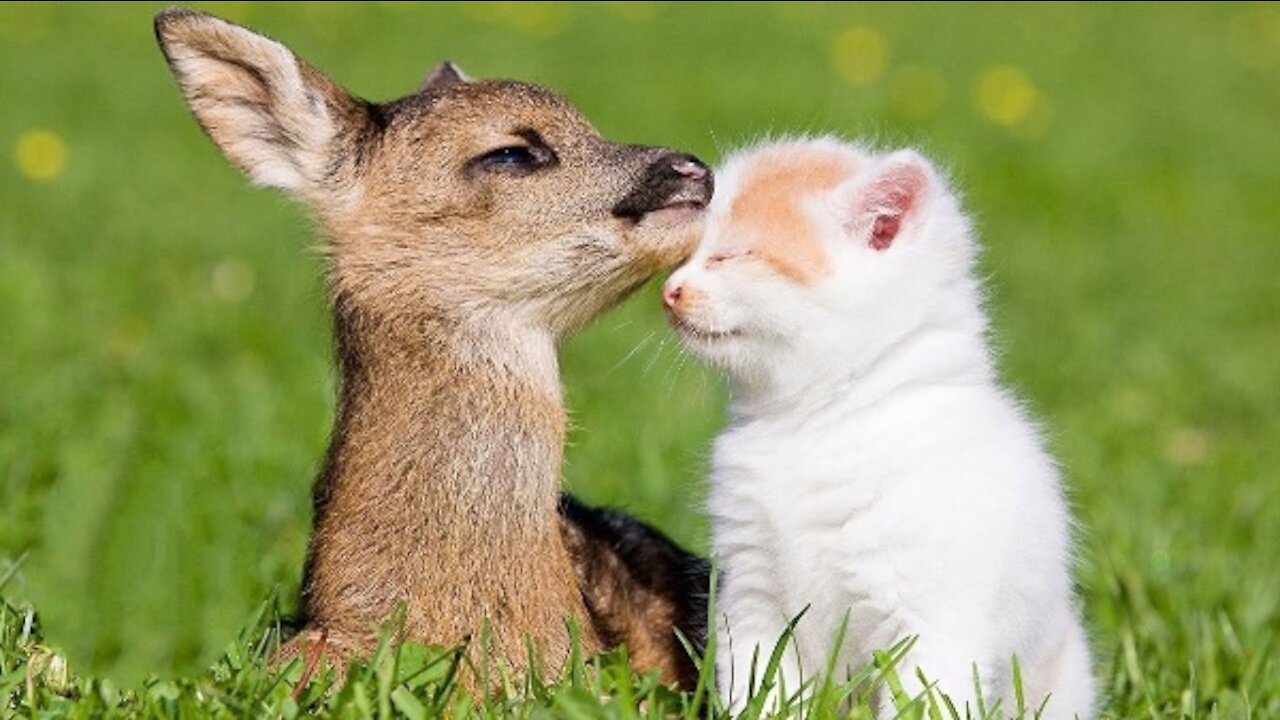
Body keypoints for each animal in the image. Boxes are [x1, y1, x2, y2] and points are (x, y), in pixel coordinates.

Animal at [665, 137, 1095, 712]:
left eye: (732, 256)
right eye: (685, 254)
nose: (670, 290)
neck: (815, 422)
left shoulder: (930, 620)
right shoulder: (754, 599)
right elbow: (764, 691)